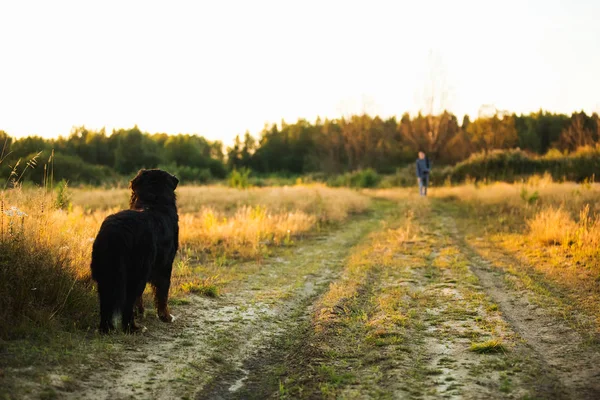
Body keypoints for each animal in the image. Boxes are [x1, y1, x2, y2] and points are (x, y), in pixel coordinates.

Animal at [89, 167, 178, 332]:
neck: (154, 201)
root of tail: (117, 231)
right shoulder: (165, 266)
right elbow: (162, 294)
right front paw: (166, 317)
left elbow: (141, 299)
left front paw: (141, 312)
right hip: (136, 272)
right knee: (127, 302)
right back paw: (133, 328)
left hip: (106, 272)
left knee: (106, 302)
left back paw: (106, 328)